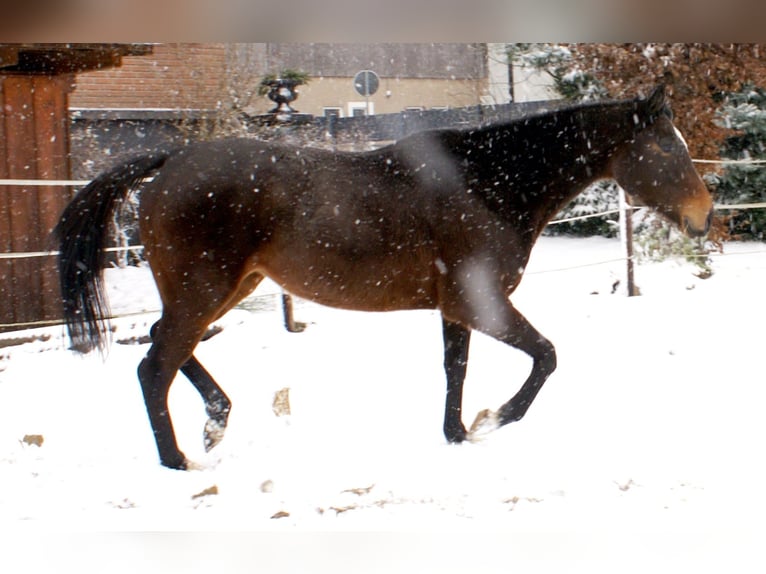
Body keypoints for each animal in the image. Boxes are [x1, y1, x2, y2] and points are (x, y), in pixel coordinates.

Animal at [55, 85, 713, 470]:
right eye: (666, 149)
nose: (704, 217)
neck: (487, 184)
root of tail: (170, 162)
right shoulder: (481, 303)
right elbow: (546, 356)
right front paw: (493, 420)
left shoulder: (456, 307)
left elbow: (456, 368)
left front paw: (456, 434)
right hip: (205, 290)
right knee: (155, 365)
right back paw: (179, 459)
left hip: (230, 287)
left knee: (167, 346)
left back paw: (216, 423)